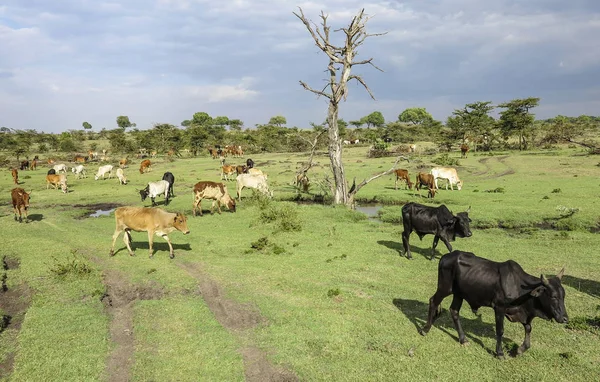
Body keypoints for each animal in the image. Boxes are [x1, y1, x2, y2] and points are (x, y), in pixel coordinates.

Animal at [418, 251, 568, 358]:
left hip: (458, 294)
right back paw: (425, 329)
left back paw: (463, 339)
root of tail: (445, 256)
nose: (565, 318)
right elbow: (500, 331)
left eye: (563, 296)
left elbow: (528, 328)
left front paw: (519, 350)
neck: (520, 287)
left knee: (454, 311)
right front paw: (500, 353)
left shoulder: (523, 314)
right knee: (433, 301)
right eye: (553, 296)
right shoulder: (499, 308)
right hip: (444, 288)